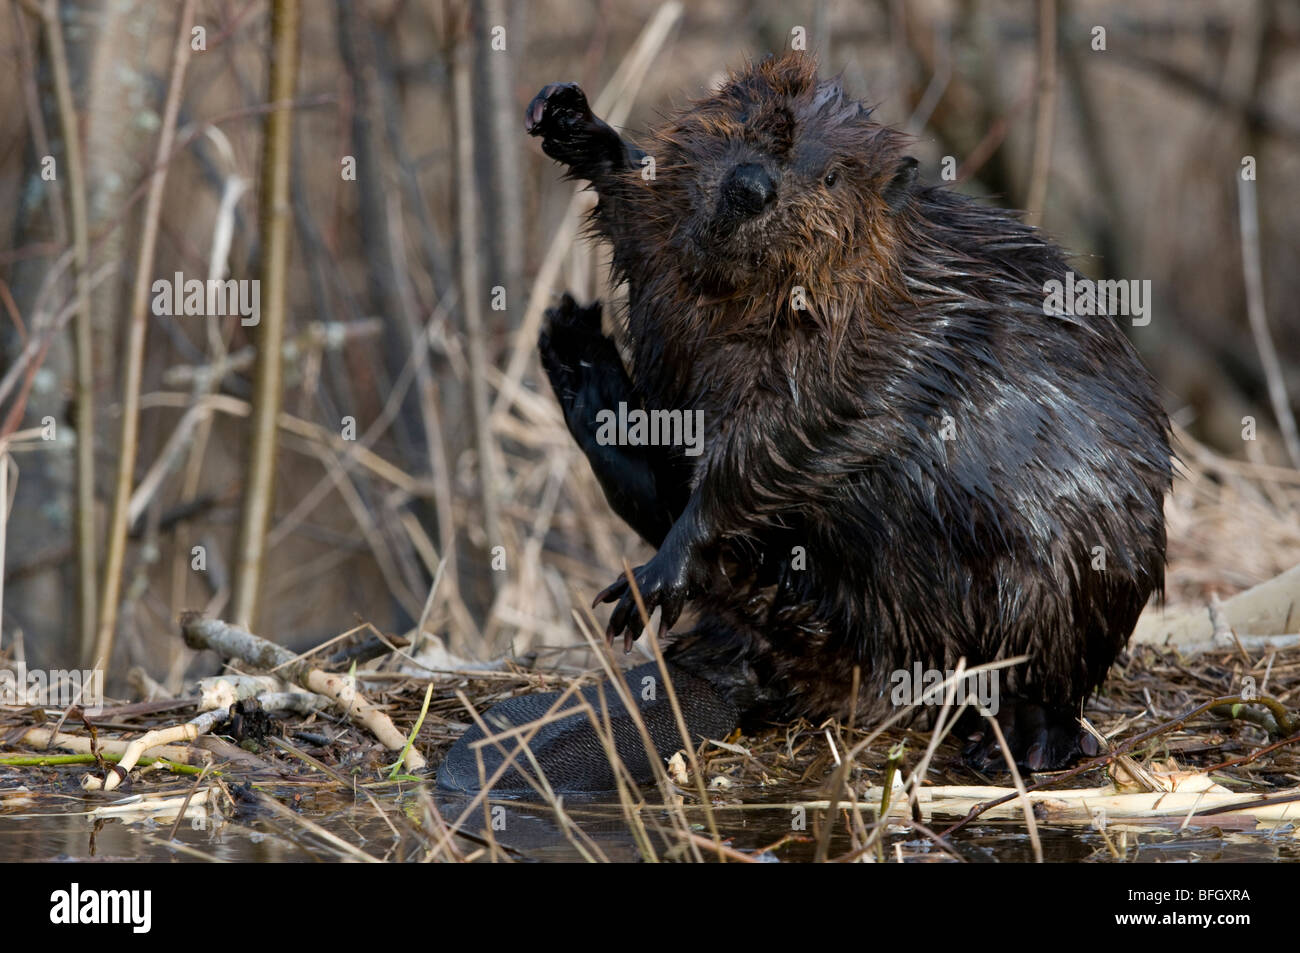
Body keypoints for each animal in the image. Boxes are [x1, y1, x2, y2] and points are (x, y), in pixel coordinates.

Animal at [434, 55, 1170, 790]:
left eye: (833, 174)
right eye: (748, 129)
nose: (750, 188)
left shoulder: (884, 347)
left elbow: (792, 434)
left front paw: (659, 574)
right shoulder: (673, 251)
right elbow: (638, 211)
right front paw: (568, 119)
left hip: (1058, 587)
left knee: (1040, 675)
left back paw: (1020, 739)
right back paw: (576, 355)